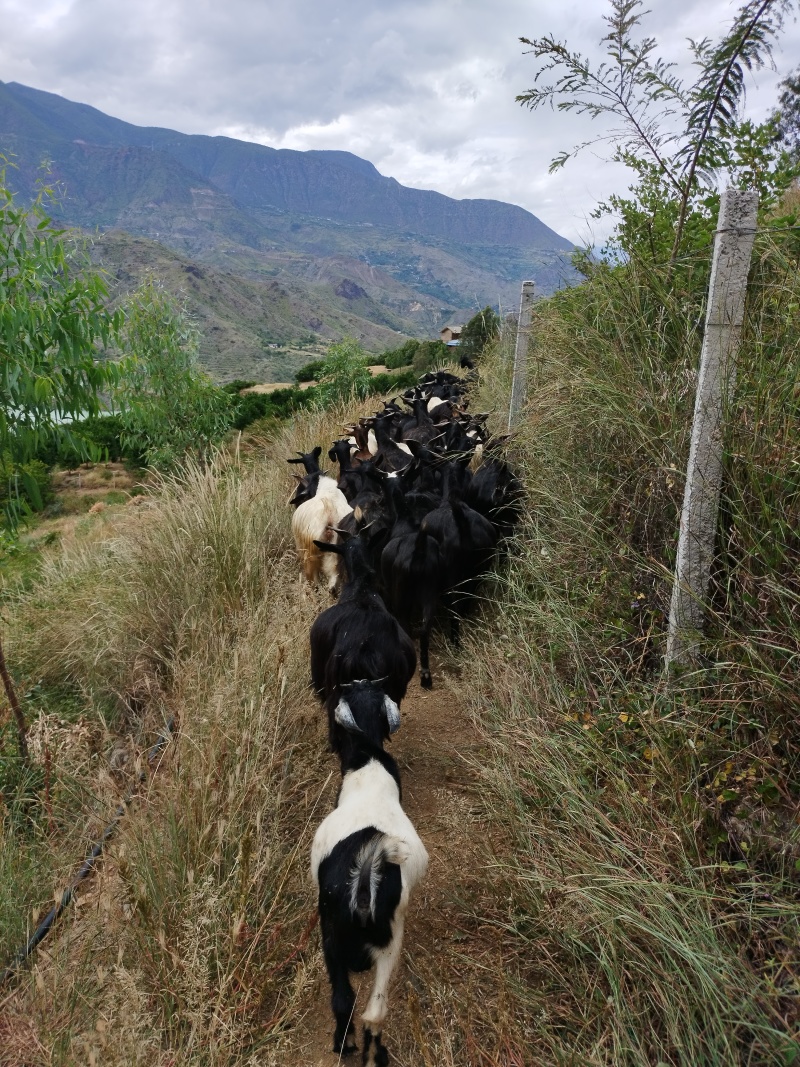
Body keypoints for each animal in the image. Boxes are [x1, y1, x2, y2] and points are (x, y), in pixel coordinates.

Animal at [311, 678, 428, 1062]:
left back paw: (342, 1046)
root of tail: (364, 880)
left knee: (345, 1000)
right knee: (374, 1012)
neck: (369, 760)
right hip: (385, 937)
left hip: (335, 933)